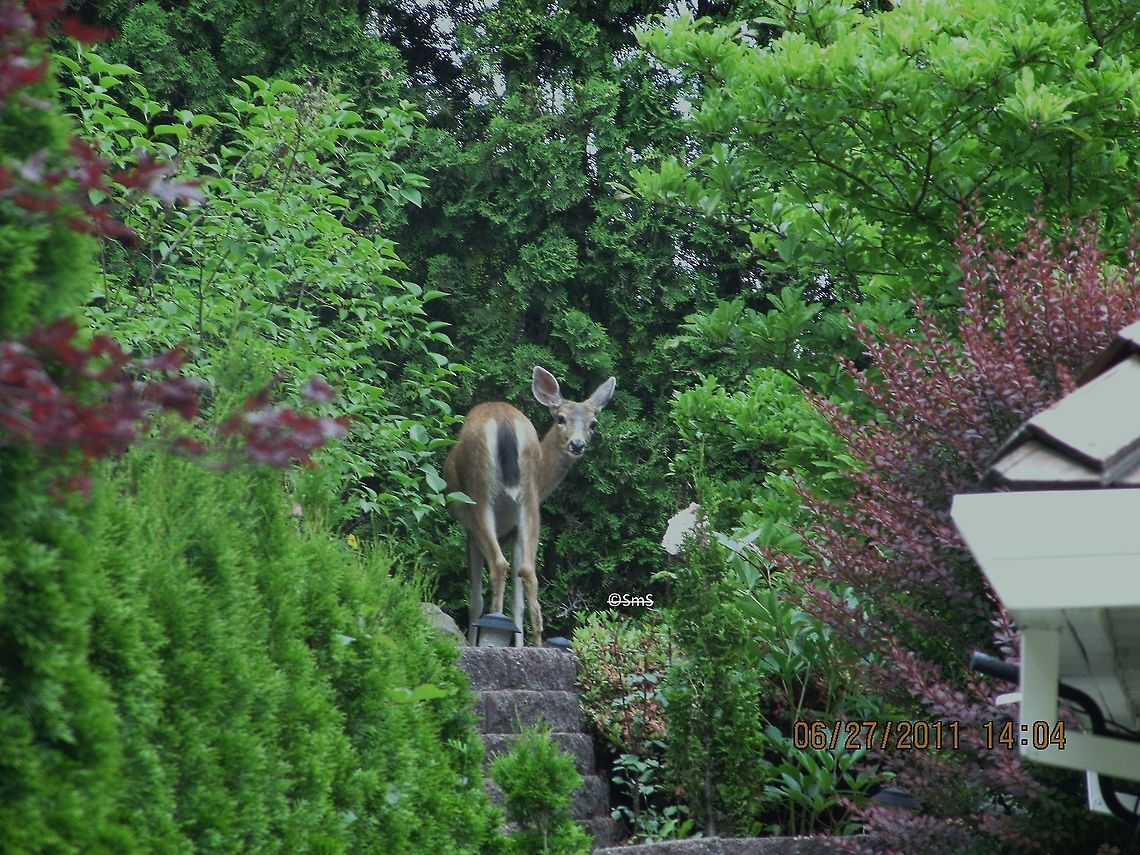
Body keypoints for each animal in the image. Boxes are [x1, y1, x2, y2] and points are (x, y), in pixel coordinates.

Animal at [443, 366, 616, 646]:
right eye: (561, 418)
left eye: (593, 423)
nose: (577, 444)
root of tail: (504, 421)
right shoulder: (515, 530)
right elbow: (518, 600)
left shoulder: (470, 531)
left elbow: (475, 598)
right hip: (529, 502)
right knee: (529, 571)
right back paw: (536, 642)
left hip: (478, 494)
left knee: (499, 566)